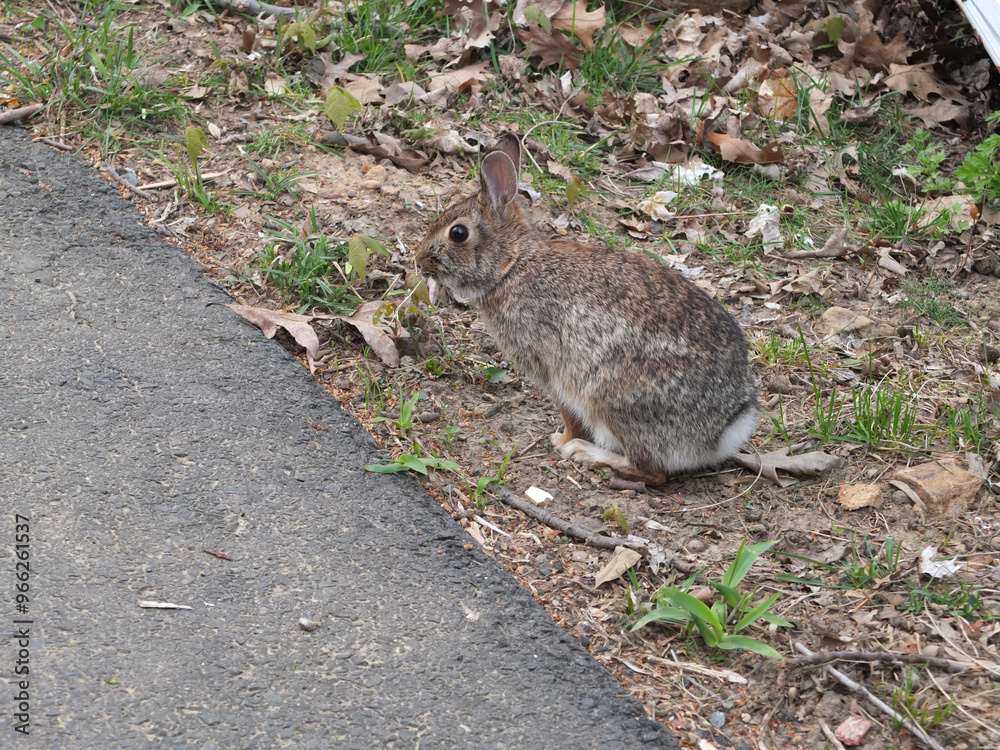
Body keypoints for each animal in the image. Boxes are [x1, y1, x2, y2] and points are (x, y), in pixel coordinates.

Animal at [415, 133, 757, 485]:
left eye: (458, 233)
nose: (420, 260)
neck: (511, 266)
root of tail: (725, 427)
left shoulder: (553, 371)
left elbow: (568, 413)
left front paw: (561, 439)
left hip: (612, 398)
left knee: (651, 471)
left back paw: (585, 452)